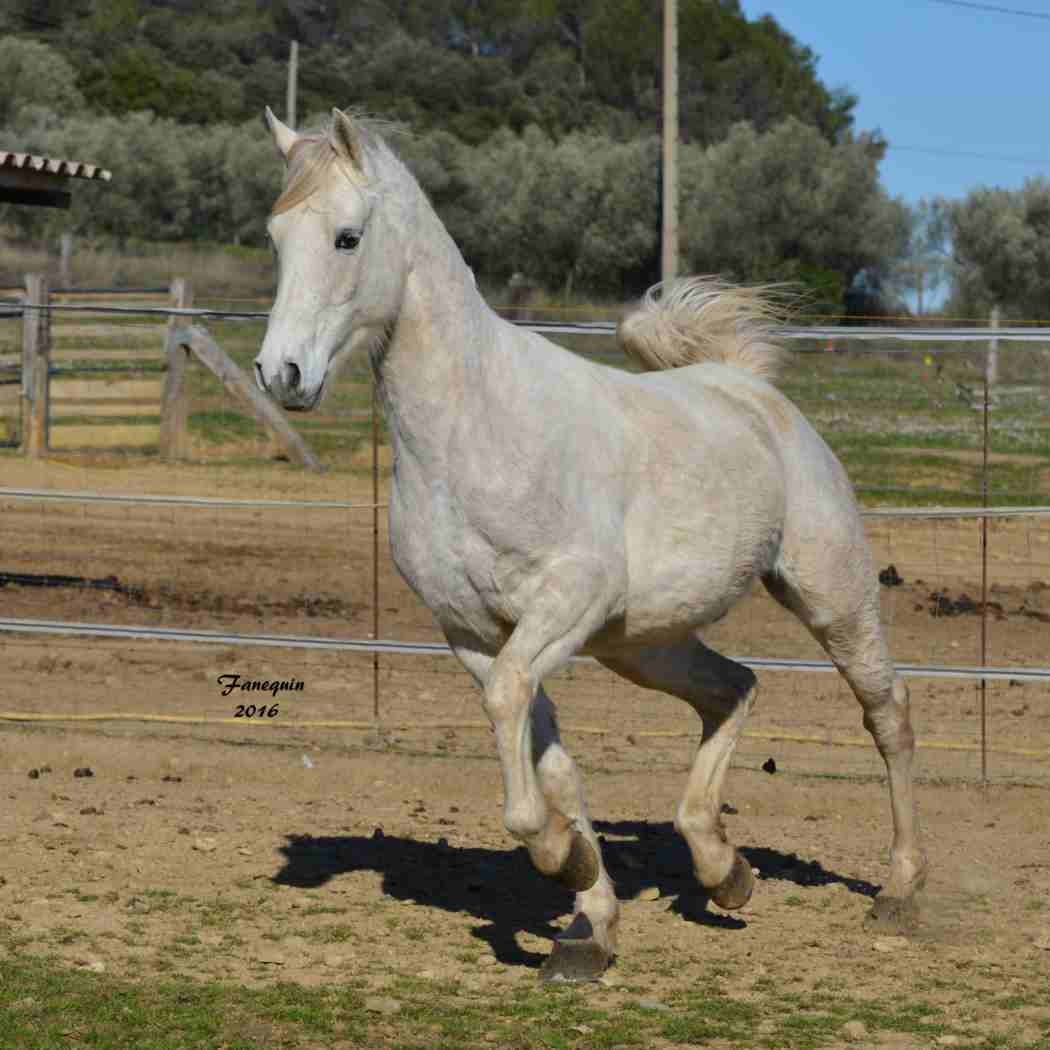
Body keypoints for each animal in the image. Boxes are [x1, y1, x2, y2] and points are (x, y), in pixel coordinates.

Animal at [254, 108, 928, 982]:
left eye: (346, 237)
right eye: (276, 236)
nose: (281, 373)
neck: (471, 432)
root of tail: (749, 387)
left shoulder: (562, 604)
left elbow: (519, 729)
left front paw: (561, 858)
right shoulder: (476, 634)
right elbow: (550, 760)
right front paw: (588, 920)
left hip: (830, 597)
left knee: (887, 715)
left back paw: (900, 890)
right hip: (641, 643)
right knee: (734, 690)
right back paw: (724, 870)